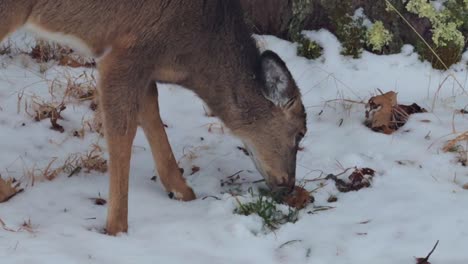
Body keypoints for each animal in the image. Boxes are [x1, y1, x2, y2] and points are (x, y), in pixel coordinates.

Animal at [0, 0, 308, 235]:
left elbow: (151, 111)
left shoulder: (144, 66)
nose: (288, 184)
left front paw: (182, 190)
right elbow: (122, 133)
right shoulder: (126, 52)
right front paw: (116, 229)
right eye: (300, 133)